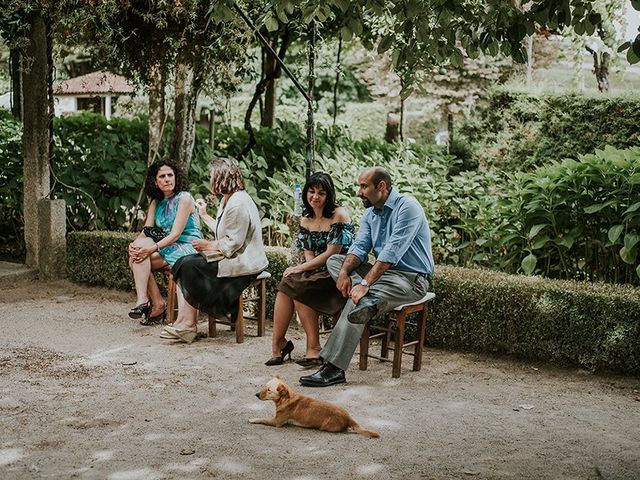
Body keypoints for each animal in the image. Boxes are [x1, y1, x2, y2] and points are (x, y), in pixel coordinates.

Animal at [250, 376, 380, 438]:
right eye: (264, 386)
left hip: (326, 427)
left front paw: (253, 419)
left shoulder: (276, 422)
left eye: (269, 390)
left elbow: (262, 419)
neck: (286, 398)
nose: (256, 394)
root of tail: (348, 417)